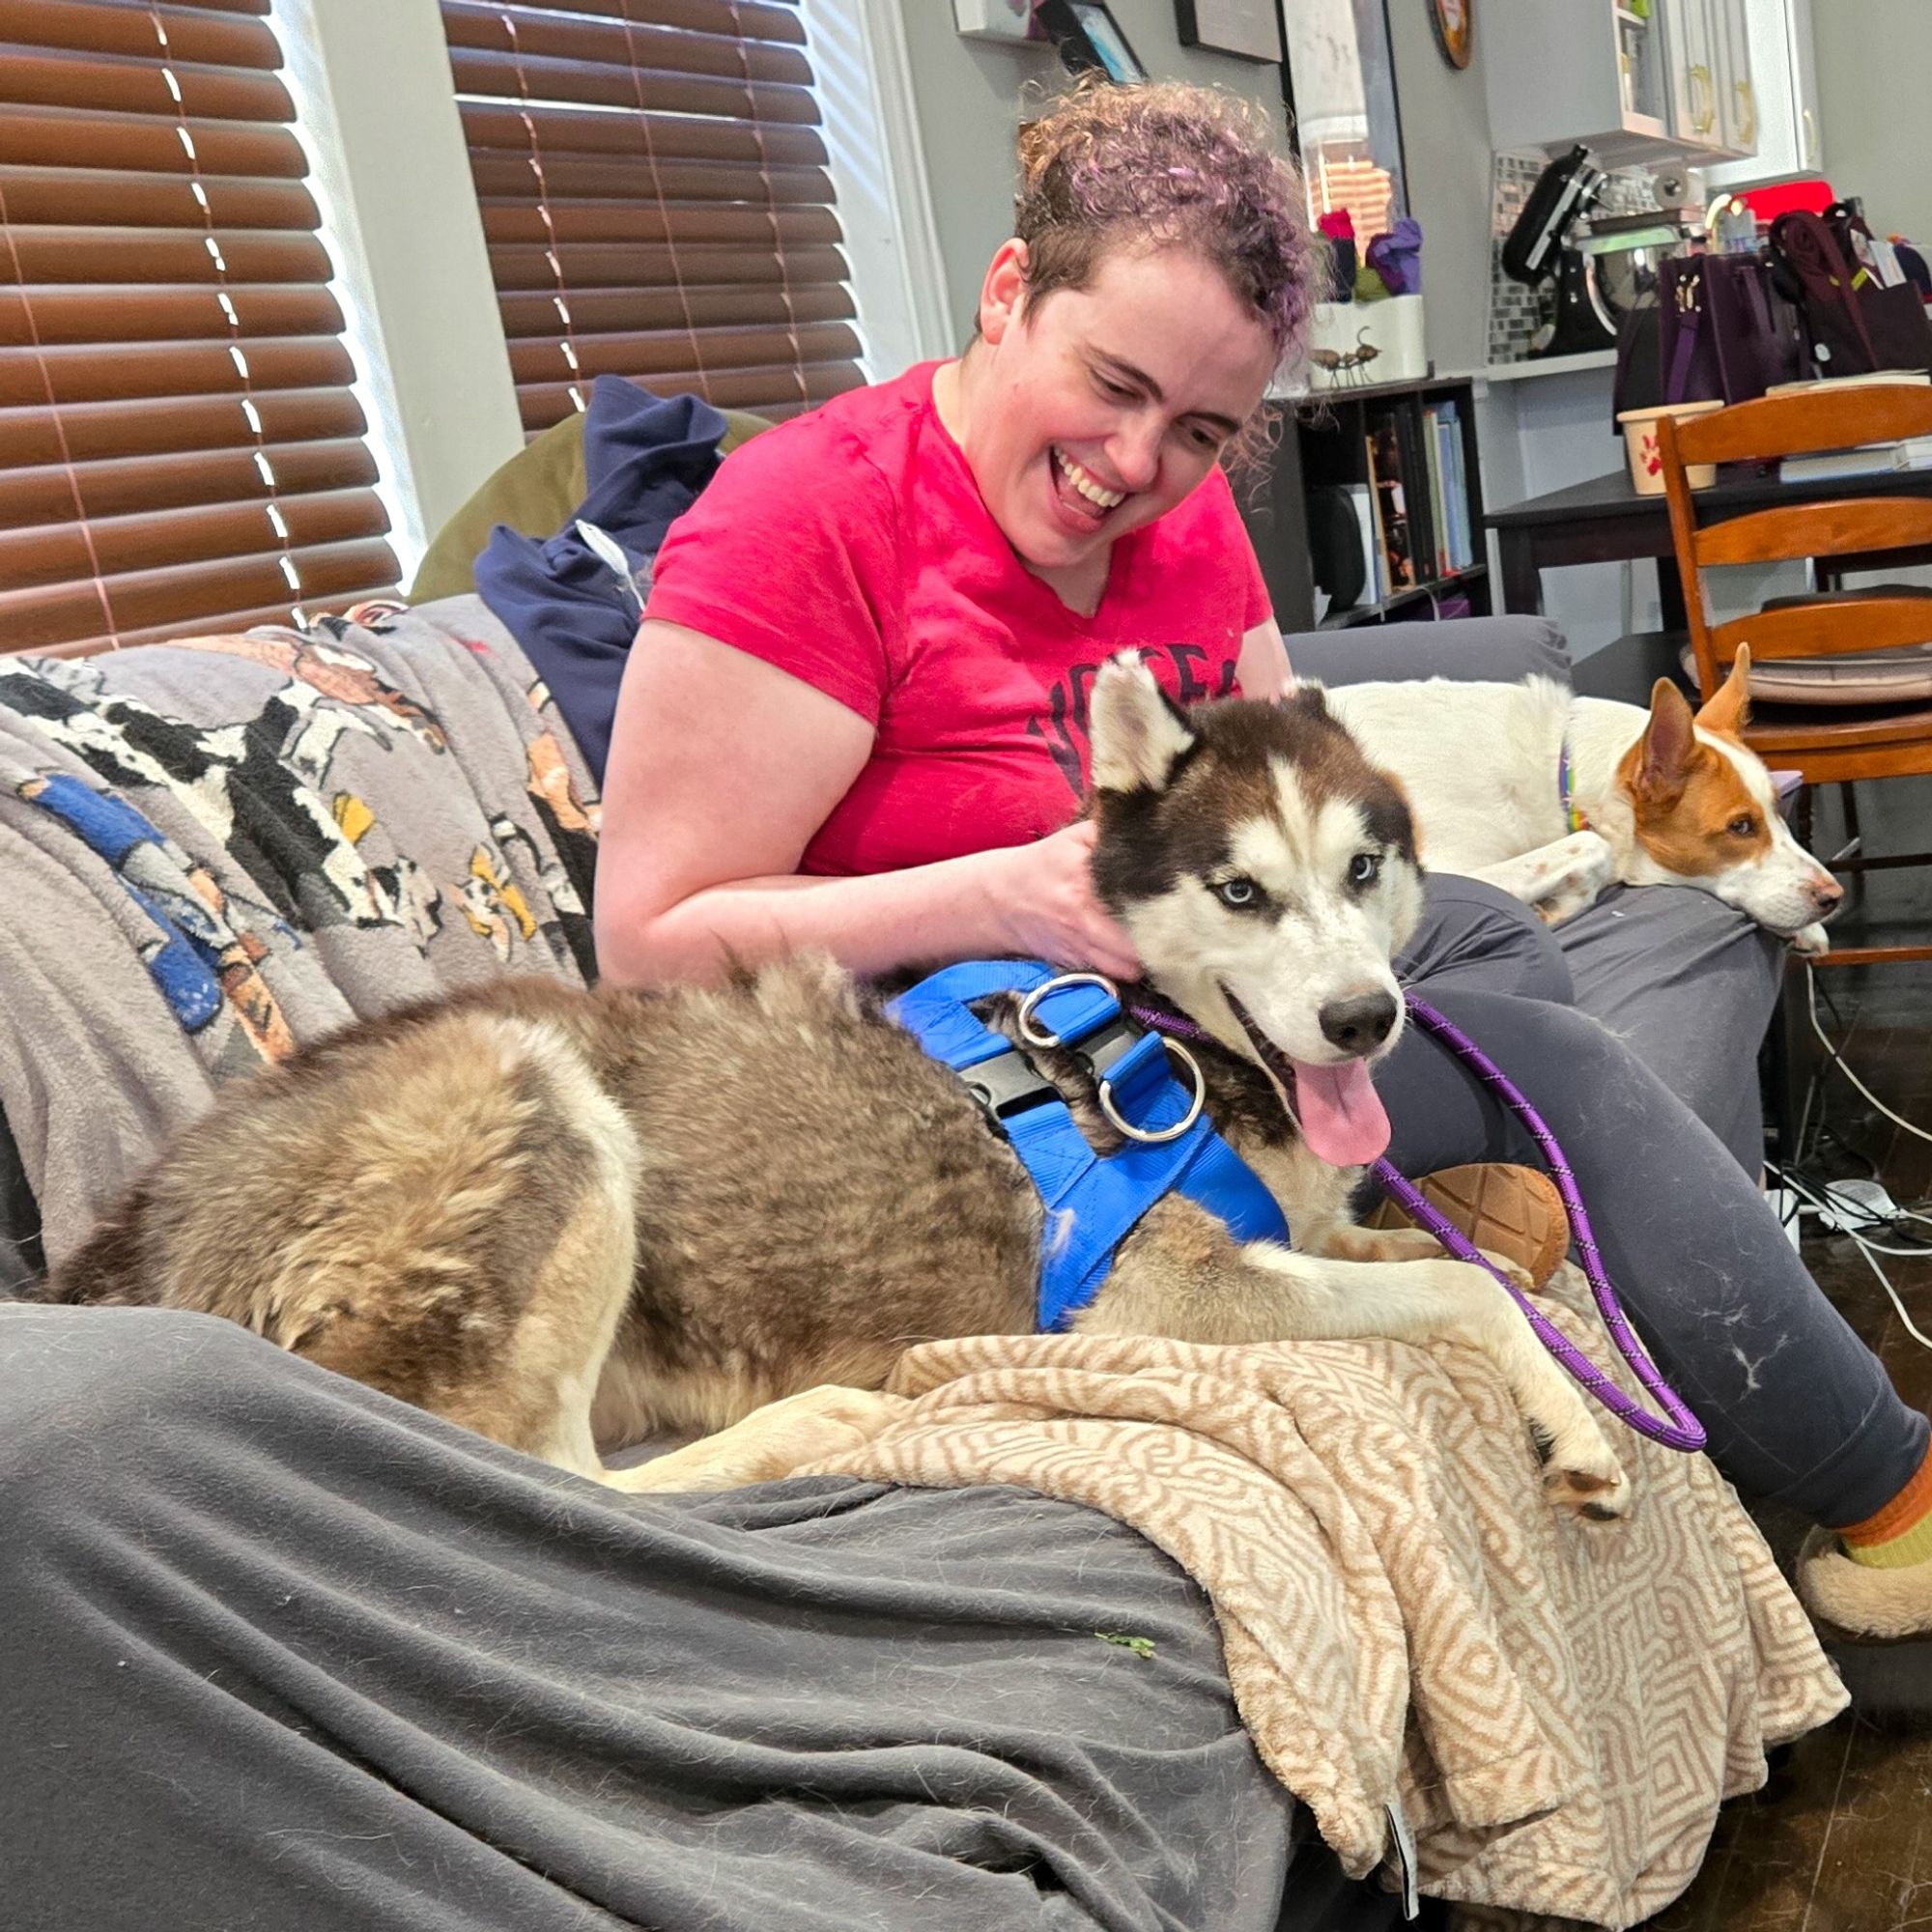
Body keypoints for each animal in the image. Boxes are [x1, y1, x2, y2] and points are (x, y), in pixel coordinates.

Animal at [38, 657, 1623, 1515]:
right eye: (1241, 890)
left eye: (1364, 869)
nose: (1363, 1019)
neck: (1158, 1031)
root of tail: (123, 1243)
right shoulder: (1164, 1297)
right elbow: (1465, 1285)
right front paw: (1584, 1426)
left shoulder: (1308, 1231)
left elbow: (1472, 1262)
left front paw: (1563, 1350)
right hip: (531, 1092)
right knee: (541, 1474)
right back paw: (809, 1423)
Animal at [1329, 649, 1839, 951]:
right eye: (1740, 826)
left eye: (1777, 813)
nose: (1834, 898)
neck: (1559, 769)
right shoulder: (1445, 868)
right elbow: (1594, 848)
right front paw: (1558, 905)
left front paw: (1808, 929)